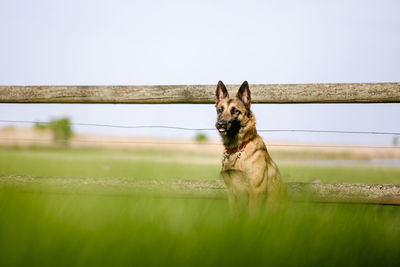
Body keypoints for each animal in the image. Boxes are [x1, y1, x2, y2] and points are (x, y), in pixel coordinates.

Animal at [214, 81, 286, 214]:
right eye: (220, 110)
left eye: (235, 111)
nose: (220, 124)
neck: (238, 148)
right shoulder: (231, 192)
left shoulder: (256, 190)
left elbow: (252, 215)